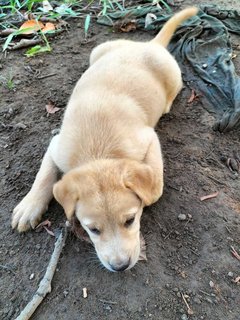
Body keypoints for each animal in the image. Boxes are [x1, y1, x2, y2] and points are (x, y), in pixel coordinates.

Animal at [11, 7, 197, 272]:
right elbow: (44, 174)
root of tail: (150, 45)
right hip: (97, 50)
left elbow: (155, 184)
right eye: (93, 230)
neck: (97, 152)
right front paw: (29, 206)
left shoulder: (148, 138)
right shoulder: (57, 145)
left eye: (130, 220)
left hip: (173, 76)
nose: (120, 266)